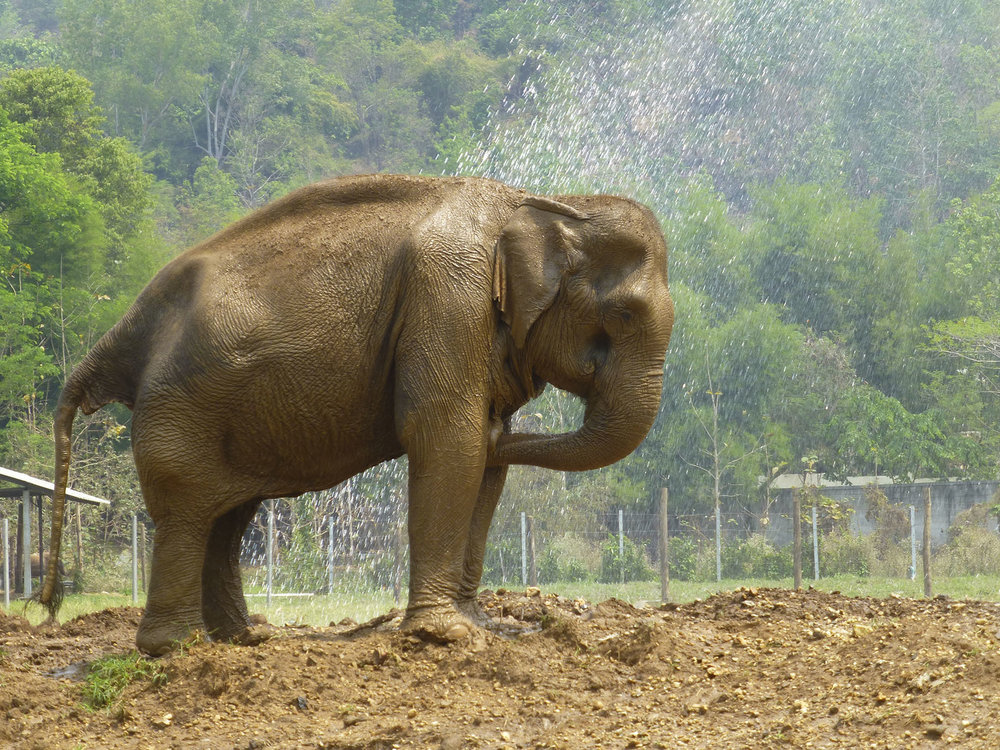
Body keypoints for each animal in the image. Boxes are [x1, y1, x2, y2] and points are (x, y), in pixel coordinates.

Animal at [43, 173, 676, 656]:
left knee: (227, 517)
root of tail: (125, 331)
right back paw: (179, 648)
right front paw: (444, 636)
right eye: (621, 315)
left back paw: (244, 640)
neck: (542, 200)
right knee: (187, 511)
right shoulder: (449, 299)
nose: (505, 426)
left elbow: (482, 467)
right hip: (181, 405)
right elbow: (448, 439)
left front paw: (478, 626)